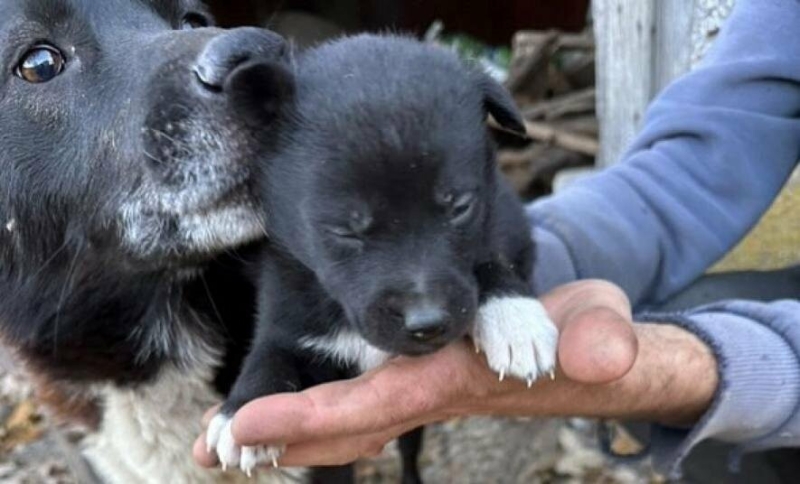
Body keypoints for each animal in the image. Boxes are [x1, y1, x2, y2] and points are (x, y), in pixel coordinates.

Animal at [206, 35, 560, 480]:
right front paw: (241, 409)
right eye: (345, 230)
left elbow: (487, 259)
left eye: (460, 207)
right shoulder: (289, 308)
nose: (427, 323)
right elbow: (271, 350)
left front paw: (515, 319)